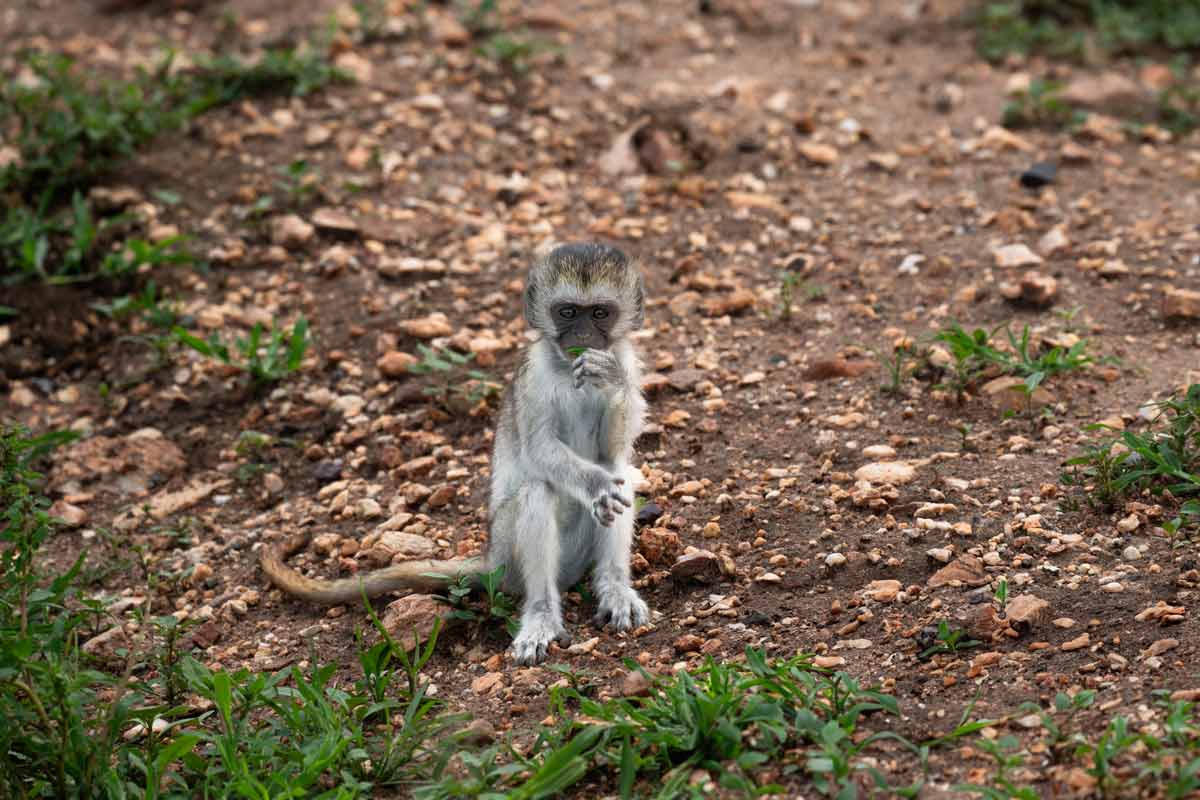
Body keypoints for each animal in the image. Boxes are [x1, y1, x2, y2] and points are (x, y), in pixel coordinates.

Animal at [260, 242, 648, 662]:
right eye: (567, 312)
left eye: (599, 313)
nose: (582, 335)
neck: (565, 367)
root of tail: (492, 558)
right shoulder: (534, 374)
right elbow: (541, 450)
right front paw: (594, 485)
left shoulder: (625, 359)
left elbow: (614, 447)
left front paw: (608, 379)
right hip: (509, 553)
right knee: (538, 491)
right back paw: (542, 612)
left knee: (620, 473)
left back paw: (613, 587)